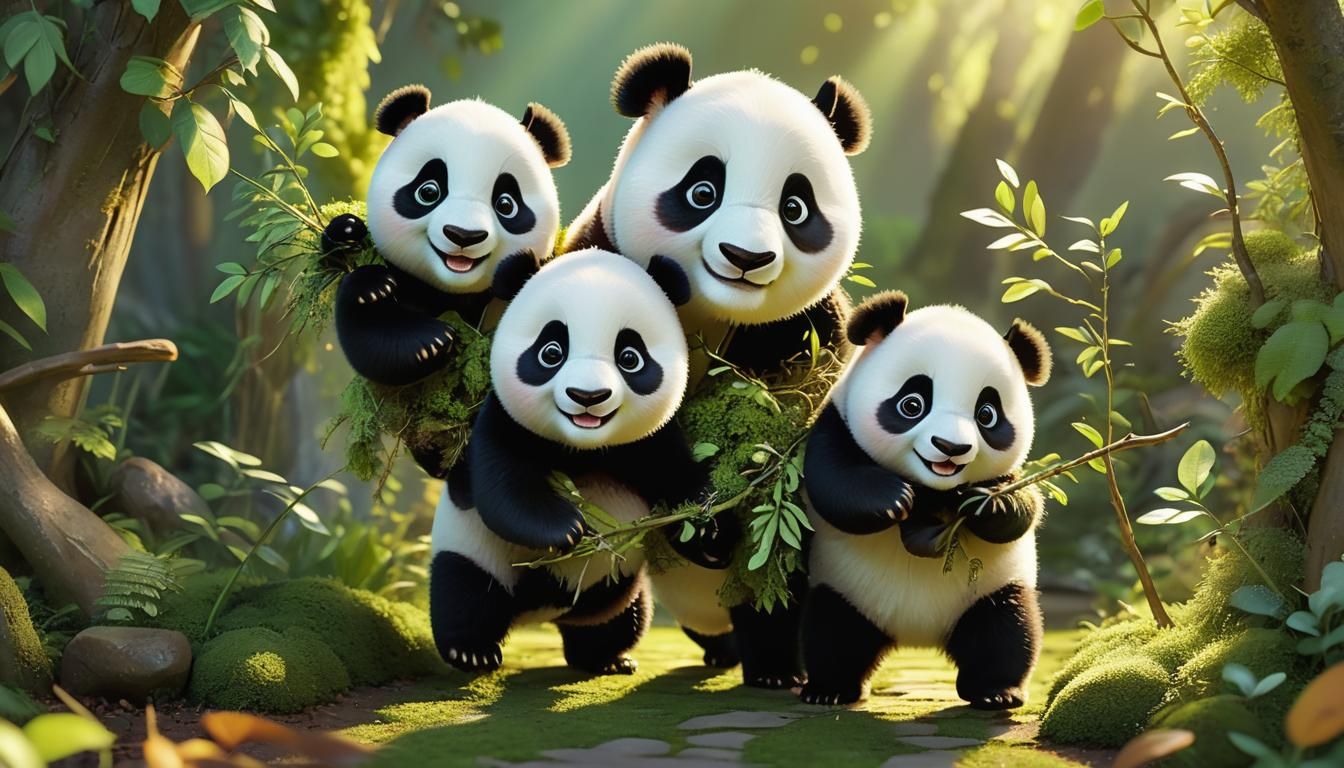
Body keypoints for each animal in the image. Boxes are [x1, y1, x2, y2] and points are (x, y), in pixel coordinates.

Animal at [428, 248, 705, 675]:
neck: (583, 447)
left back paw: (607, 658)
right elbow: (502, 492)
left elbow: (676, 479)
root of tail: (536, 615)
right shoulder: (504, 423)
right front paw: (567, 528)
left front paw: (708, 531)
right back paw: (472, 652)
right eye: (551, 353)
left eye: (630, 357)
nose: (587, 396)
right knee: (465, 592)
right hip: (473, 550)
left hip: (614, 588)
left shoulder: (651, 441)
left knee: (620, 619)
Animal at [563, 43, 872, 689]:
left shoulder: (802, 328)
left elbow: (797, 412)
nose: (745, 257)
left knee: (776, 573)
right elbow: (627, 432)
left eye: (795, 207)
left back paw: (772, 663)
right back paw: (607, 652)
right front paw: (701, 518)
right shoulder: (603, 258)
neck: (706, 306)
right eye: (703, 191)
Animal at [798, 291, 1052, 710]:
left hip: (990, 591)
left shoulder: (1012, 472)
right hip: (844, 590)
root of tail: (916, 635)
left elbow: (1024, 502)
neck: (932, 489)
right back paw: (830, 689)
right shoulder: (836, 424)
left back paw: (995, 691)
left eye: (987, 414)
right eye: (912, 404)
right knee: (833, 633)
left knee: (1005, 630)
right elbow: (831, 481)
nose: (951, 447)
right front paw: (892, 500)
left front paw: (987, 503)